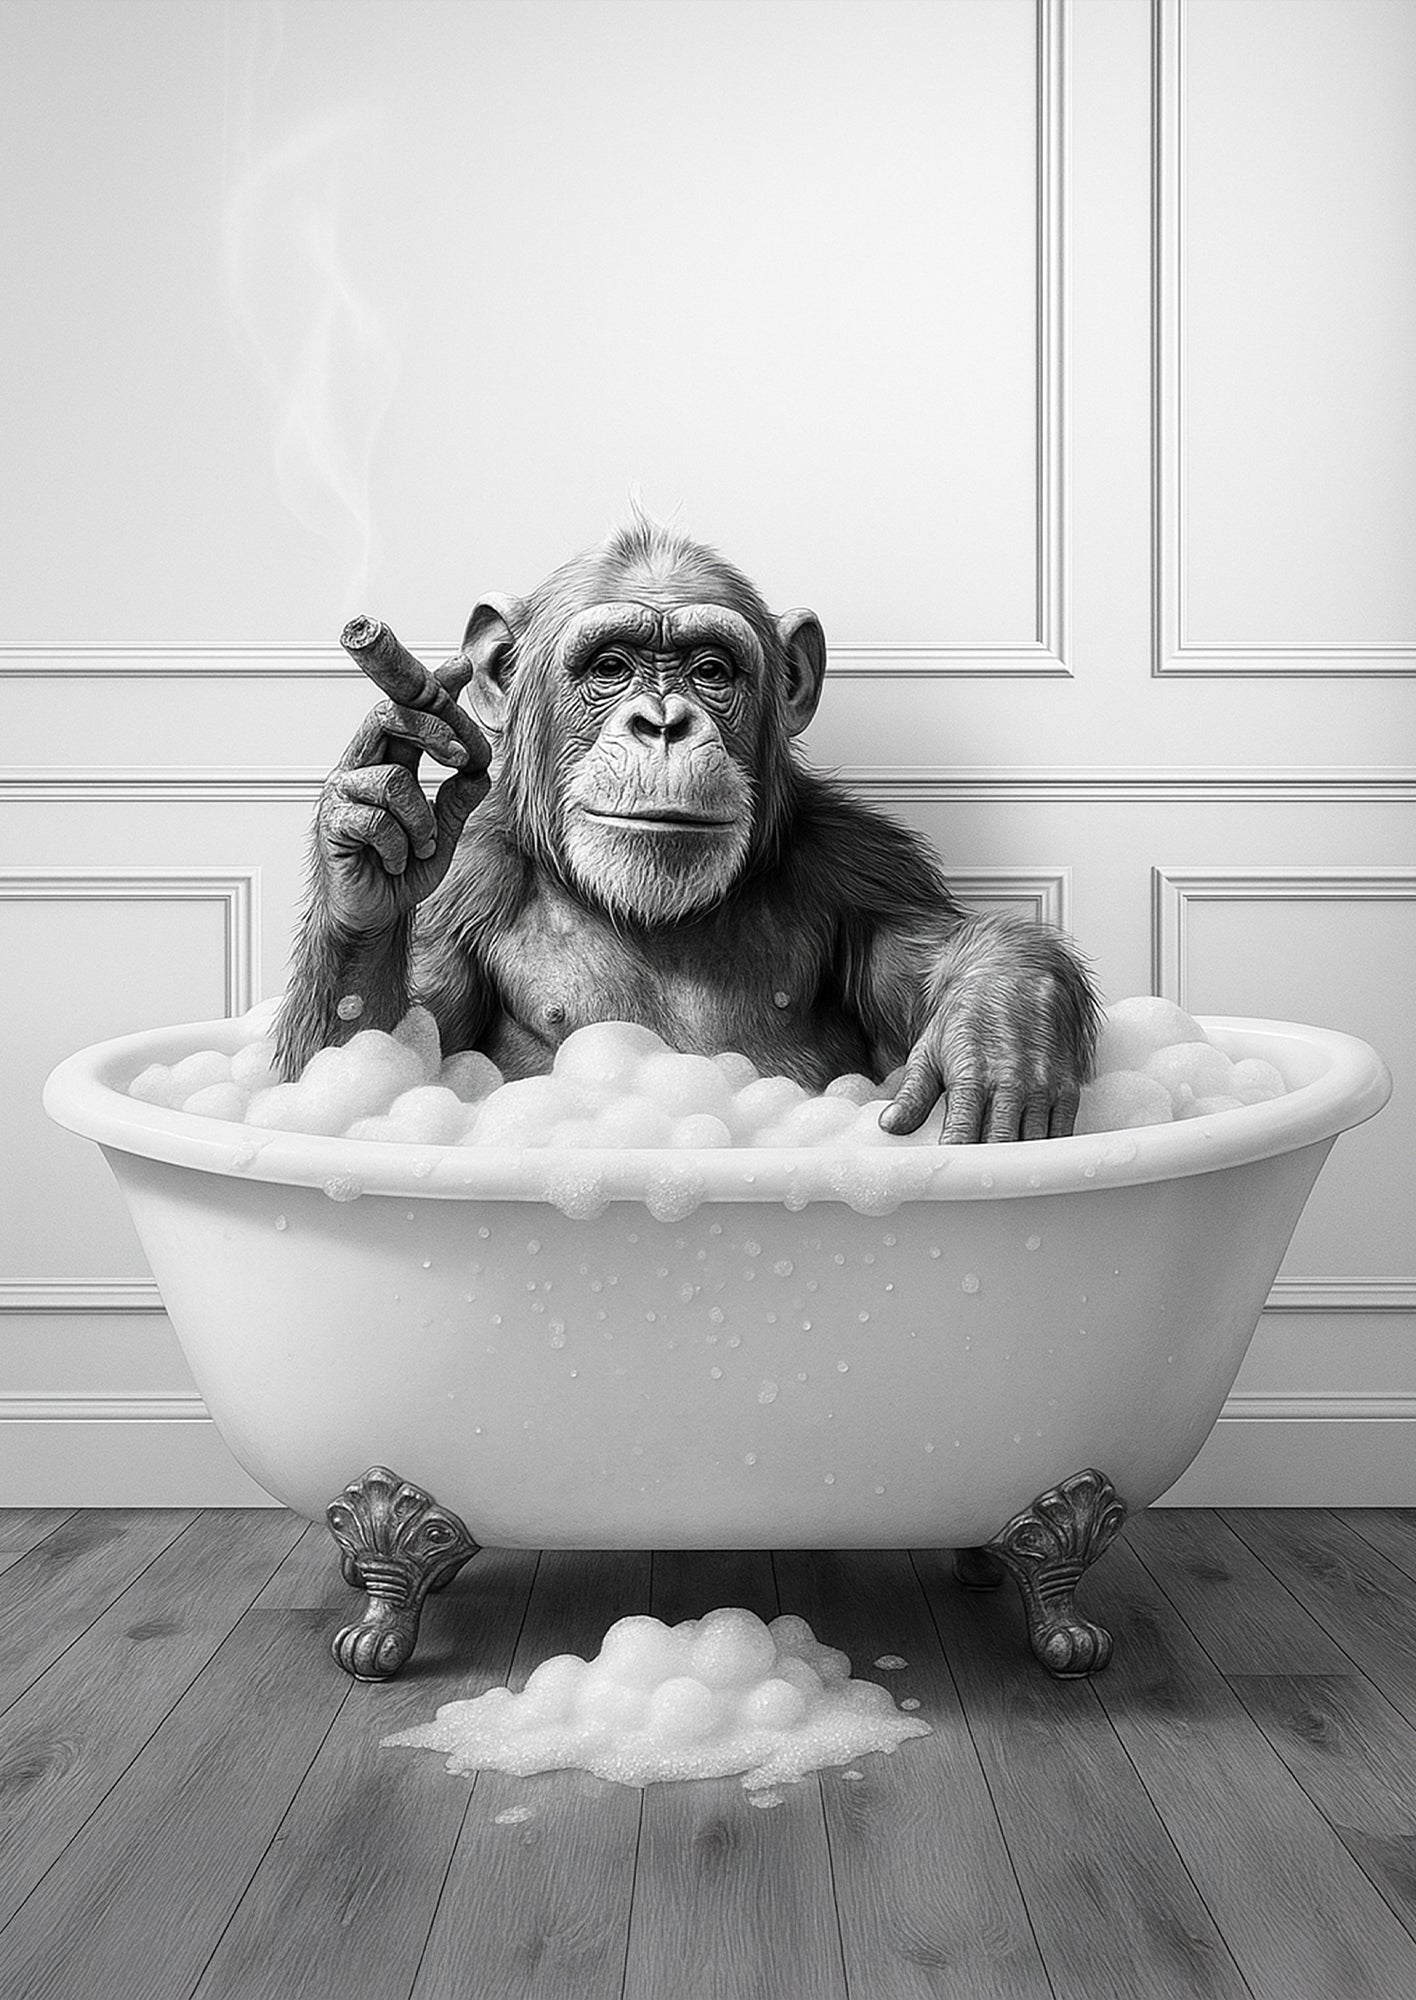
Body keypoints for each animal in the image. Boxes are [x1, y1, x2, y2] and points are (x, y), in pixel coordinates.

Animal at [276, 521, 1101, 1143]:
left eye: (710, 670)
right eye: (611, 666)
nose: (664, 723)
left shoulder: (866, 868)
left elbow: (936, 953)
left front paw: (999, 1031)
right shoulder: (465, 889)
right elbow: (367, 1062)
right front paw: (370, 836)